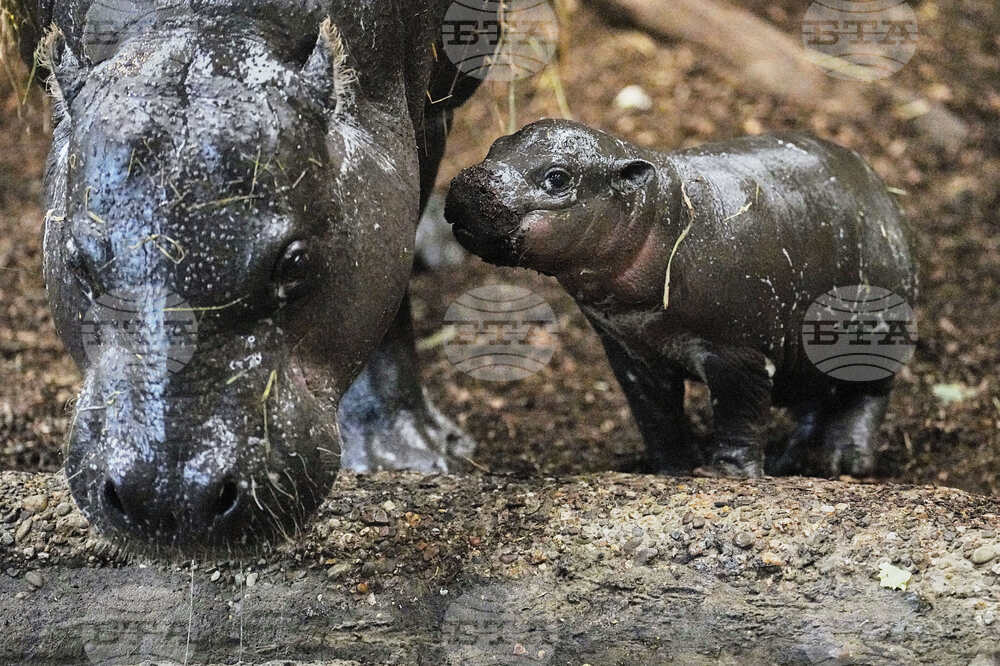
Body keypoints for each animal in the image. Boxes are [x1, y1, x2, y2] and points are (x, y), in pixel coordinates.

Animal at [445, 119, 917, 478]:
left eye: (558, 177)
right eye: (496, 145)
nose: (471, 182)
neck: (662, 211)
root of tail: (880, 189)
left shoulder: (737, 351)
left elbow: (738, 413)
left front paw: (725, 474)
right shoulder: (630, 351)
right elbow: (656, 415)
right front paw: (671, 471)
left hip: (876, 335)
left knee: (868, 396)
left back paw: (845, 462)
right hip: (803, 354)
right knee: (815, 403)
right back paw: (789, 461)